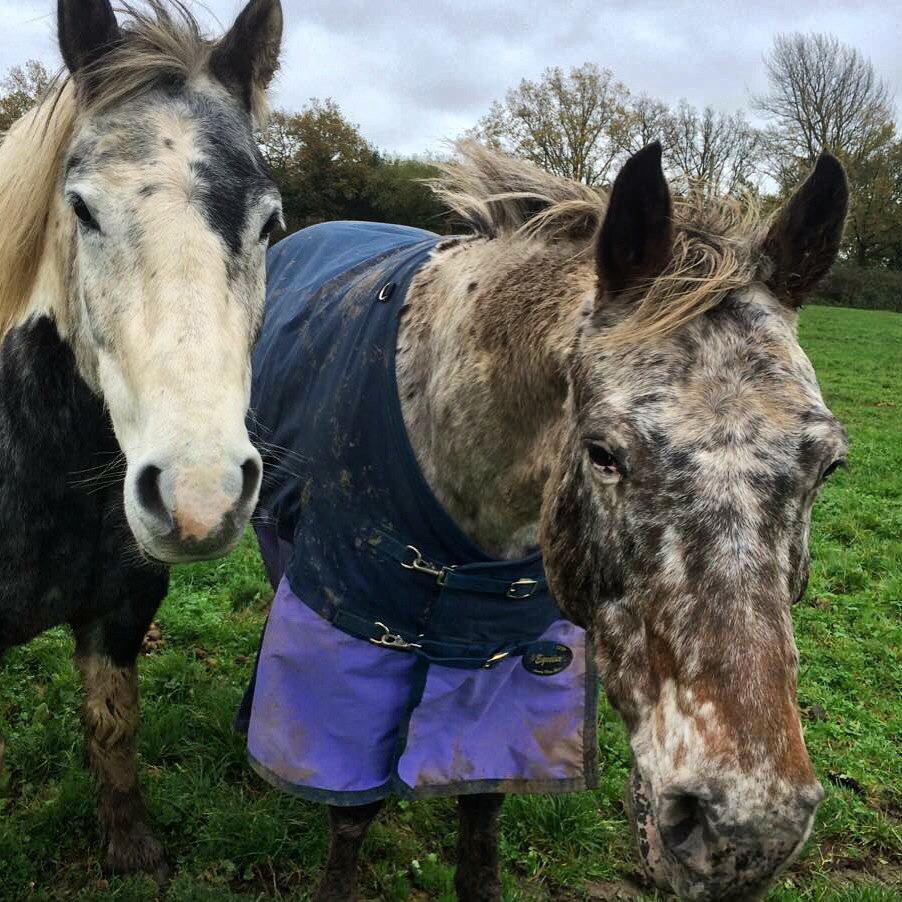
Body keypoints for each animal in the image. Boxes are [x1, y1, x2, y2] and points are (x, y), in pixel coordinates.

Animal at [0, 0, 283, 879]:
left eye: (271, 222)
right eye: (82, 208)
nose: (200, 500)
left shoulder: (122, 610)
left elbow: (113, 723)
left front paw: (131, 848)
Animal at [244, 140, 849, 901]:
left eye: (829, 466)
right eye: (603, 454)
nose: (745, 833)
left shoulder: (507, 655)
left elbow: (483, 809)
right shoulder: (350, 633)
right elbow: (352, 811)